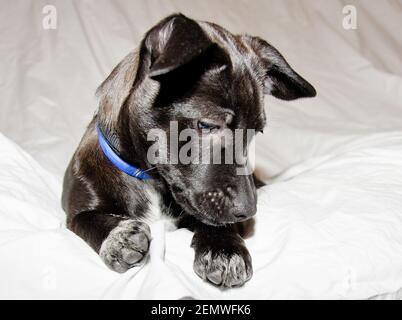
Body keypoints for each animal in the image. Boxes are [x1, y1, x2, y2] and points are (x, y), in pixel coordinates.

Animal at [62, 13, 314, 288]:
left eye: (256, 131)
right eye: (207, 125)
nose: (248, 212)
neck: (148, 179)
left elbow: (213, 220)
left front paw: (225, 248)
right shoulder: (75, 209)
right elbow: (89, 219)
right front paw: (119, 237)